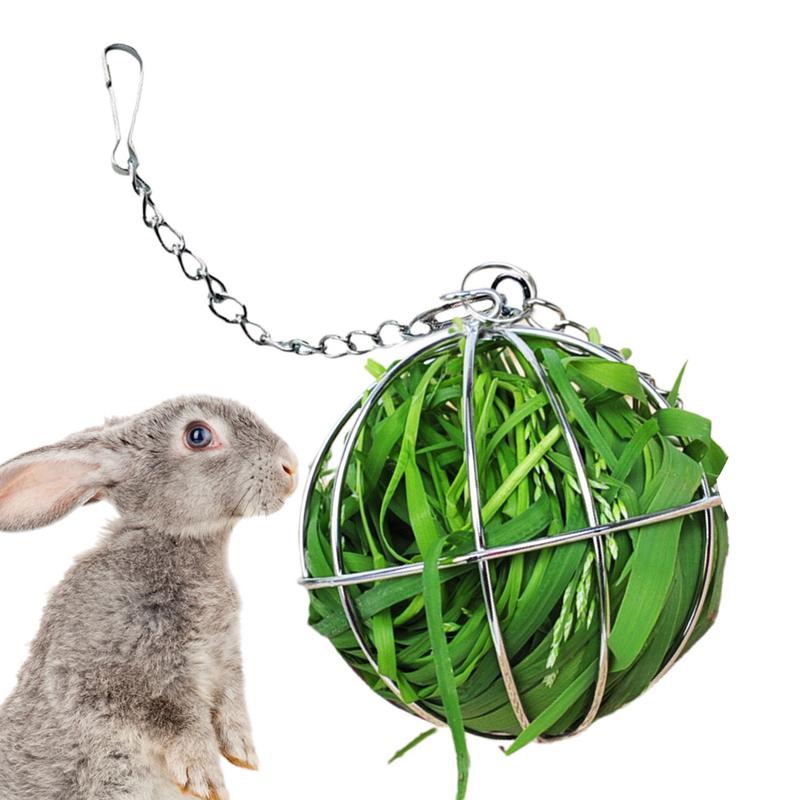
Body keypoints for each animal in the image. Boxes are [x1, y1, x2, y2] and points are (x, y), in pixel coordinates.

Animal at [0, 396, 298, 800]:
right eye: (198, 435)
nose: (291, 466)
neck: (175, 539)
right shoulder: (114, 679)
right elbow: (176, 719)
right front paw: (207, 778)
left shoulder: (224, 660)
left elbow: (231, 702)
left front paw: (243, 753)